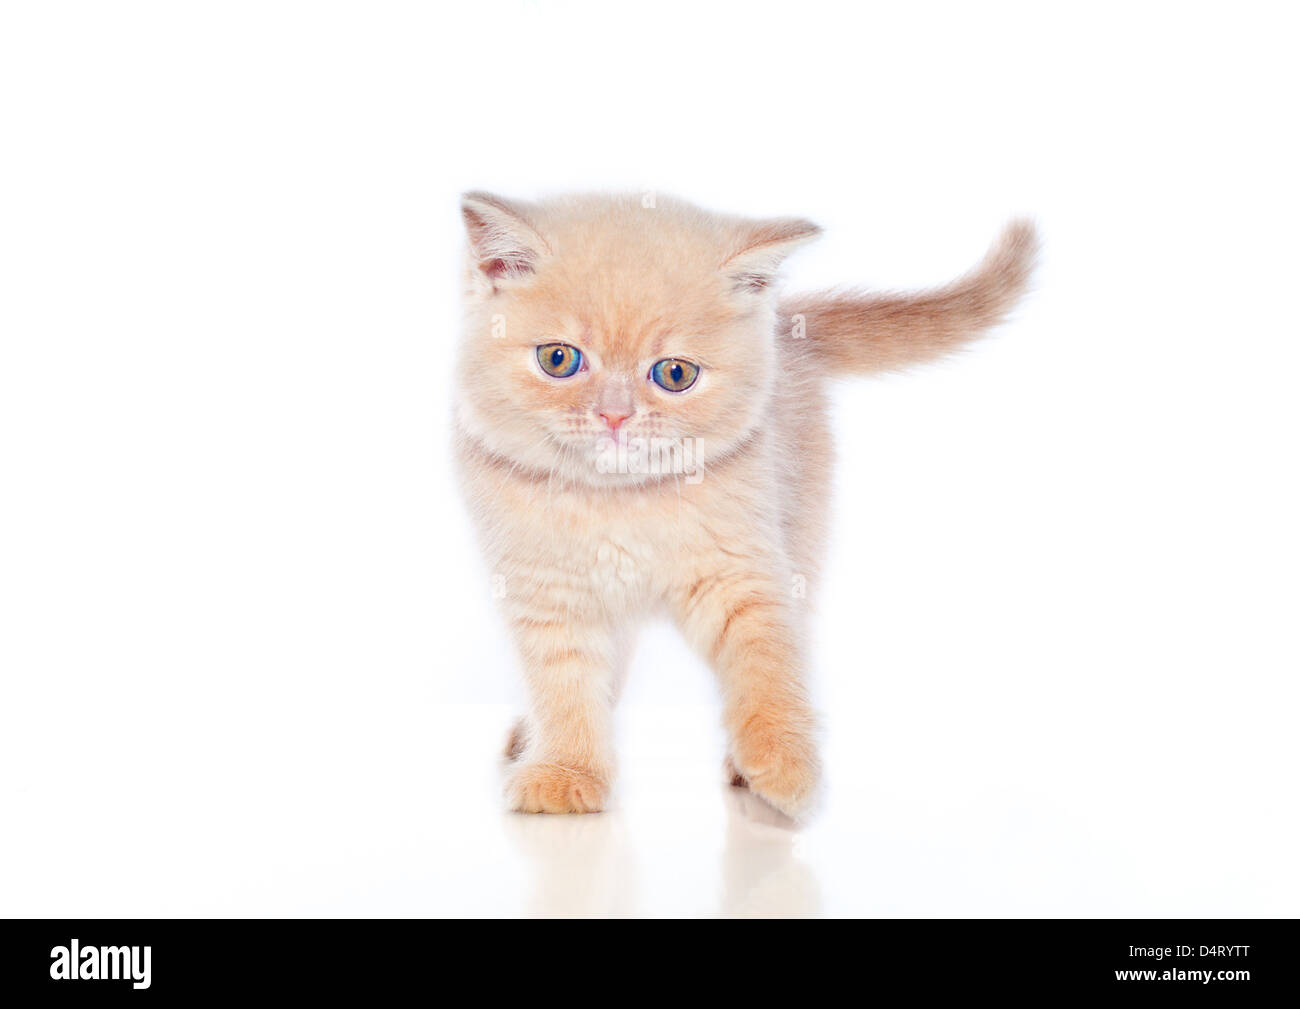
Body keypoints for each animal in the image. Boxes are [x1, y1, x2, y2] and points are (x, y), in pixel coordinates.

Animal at [457, 193, 1034, 816]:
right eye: (559, 360)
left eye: (675, 374)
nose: (615, 416)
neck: (622, 505)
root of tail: (787, 330)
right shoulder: (547, 591)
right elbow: (564, 685)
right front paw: (565, 770)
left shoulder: (743, 571)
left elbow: (767, 663)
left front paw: (783, 762)